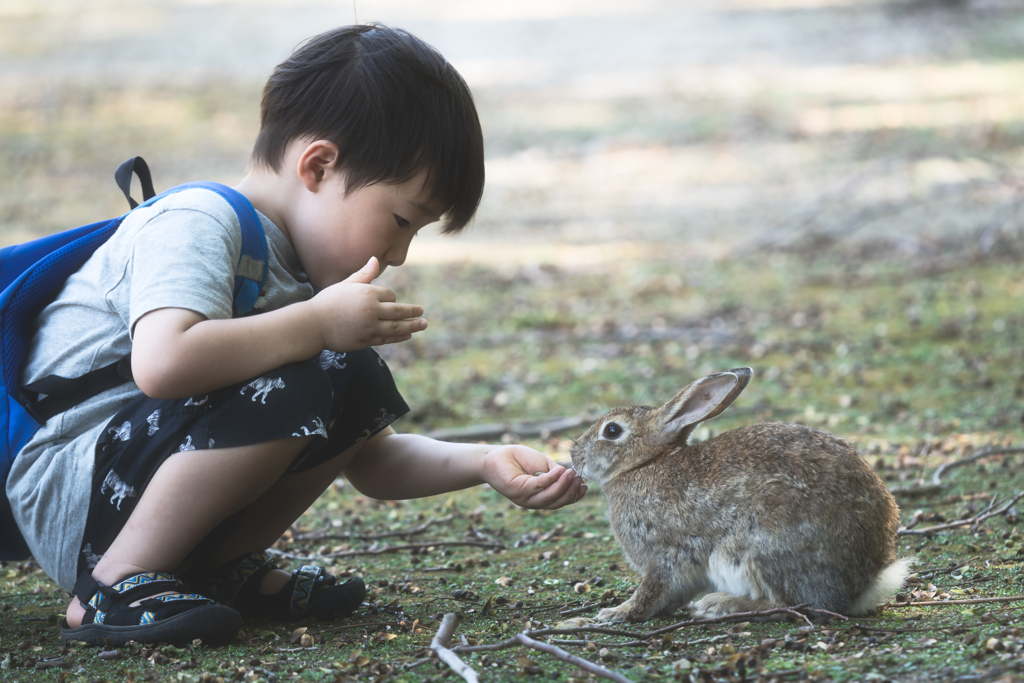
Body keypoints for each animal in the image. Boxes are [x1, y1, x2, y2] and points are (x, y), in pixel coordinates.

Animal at [570, 367, 912, 623]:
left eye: (612, 430)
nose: (574, 453)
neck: (643, 464)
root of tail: (867, 580)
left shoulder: (666, 555)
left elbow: (651, 590)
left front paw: (616, 613)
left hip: (762, 539)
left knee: (792, 604)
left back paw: (720, 605)